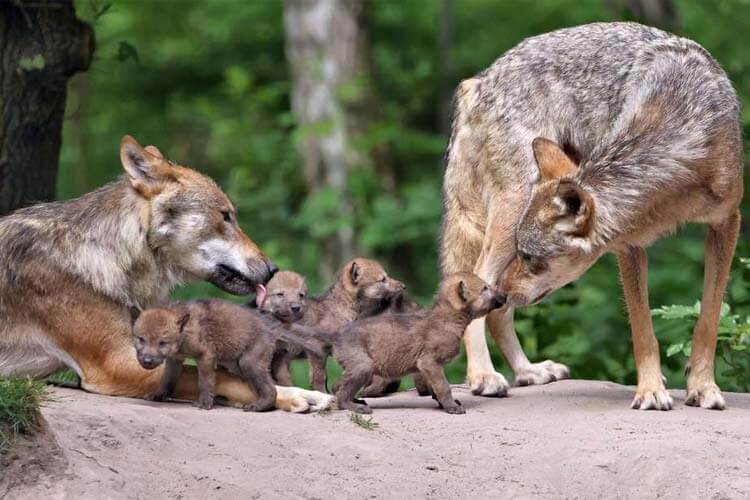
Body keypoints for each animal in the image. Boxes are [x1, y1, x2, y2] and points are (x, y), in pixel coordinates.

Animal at [133, 298, 326, 412]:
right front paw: (158, 396)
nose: (147, 361)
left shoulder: (206, 356)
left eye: (162, 343)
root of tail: (271, 328)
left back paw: (257, 407)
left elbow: (205, 382)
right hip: (238, 366)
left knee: (272, 390)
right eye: (141, 339)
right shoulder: (174, 360)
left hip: (249, 362)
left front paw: (205, 403)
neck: (184, 334)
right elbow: (167, 381)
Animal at [326, 274, 508, 414]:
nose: (505, 295)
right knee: (342, 394)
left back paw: (358, 401)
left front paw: (443, 404)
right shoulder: (429, 362)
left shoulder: (427, 367)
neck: (450, 319)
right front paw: (451, 407)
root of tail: (337, 335)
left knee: (337, 386)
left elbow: (435, 388)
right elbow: (443, 386)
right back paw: (357, 407)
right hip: (363, 366)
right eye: (485, 288)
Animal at [444, 20, 744, 410]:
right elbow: (643, 330)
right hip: (509, 214)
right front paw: (651, 391)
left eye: (532, 258)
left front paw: (703, 387)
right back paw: (483, 375)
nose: (504, 294)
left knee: (494, 310)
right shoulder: (628, 244)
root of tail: (479, 80)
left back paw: (528, 372)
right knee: (477, 282)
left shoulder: (726, 223)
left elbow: (708, 320)